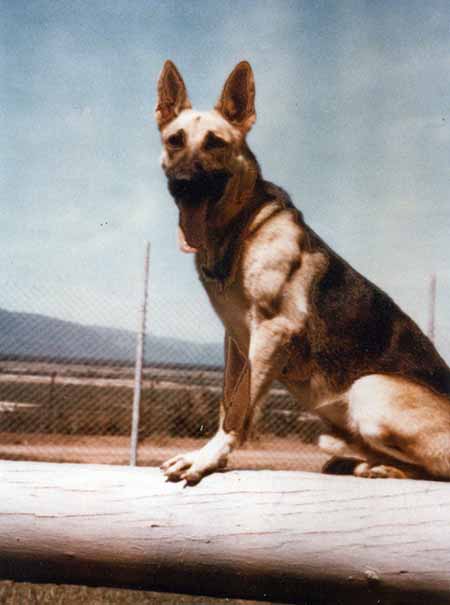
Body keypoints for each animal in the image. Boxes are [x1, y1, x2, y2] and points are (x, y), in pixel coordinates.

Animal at [156, 61, 450, 484]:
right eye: (175, 140)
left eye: (214, 143)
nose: (182, 185)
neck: (242, 228)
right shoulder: (237, 344)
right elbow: (228, 402)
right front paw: (214, 456)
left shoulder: (273, 333)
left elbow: (239, 411)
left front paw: (207, 459)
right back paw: (357, 462)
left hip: (369, 389)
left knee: (435, 471)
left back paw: (379, 467)